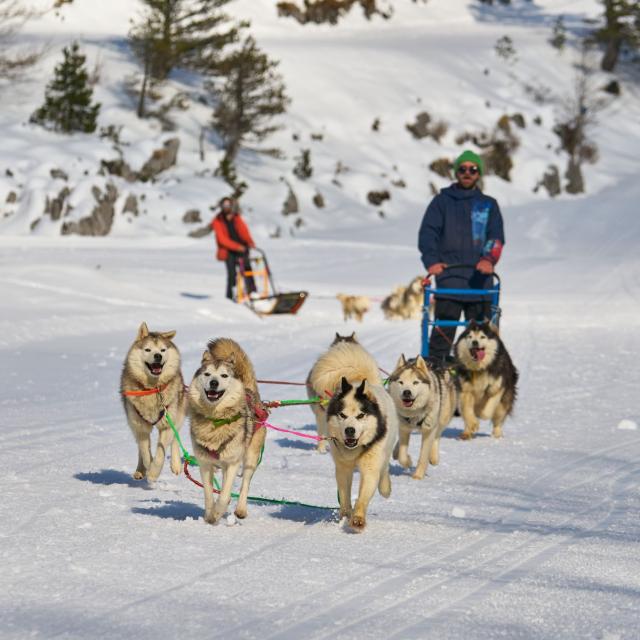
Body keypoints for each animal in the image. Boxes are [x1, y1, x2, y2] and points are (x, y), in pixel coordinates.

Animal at [120, 324, 185, 480]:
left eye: (163, 350)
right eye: (148, 349)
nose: (158, 356)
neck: (152, 389)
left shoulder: (167, 424)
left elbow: (161, 453)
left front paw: (154, 473)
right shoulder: (140, 426)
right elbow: (145, 451)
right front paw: (147, 467)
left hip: (178, 413)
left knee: (175, 439)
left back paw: (175, 465)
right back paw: (140, 470)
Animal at [186, 338, 266, 524]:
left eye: (224, 376)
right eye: (207, 374)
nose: (214, 383)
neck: (216, 420)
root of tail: (250, 391)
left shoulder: (232, 463)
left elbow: (224, 496)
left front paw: (217, 513)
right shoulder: (205, 463)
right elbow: (209, 494)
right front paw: (209, 515)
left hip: (250, 457)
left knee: (245, 484)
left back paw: (241, 509)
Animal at [328, 378, 398, 532]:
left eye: (360, 415)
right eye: (342, 415)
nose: (349, 430)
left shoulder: (370, 467)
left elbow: (363, 496)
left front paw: (358, 519)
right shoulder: (343, 468)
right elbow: (344, 495)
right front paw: (346, 514)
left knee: (384, 469)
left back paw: (385, 488)